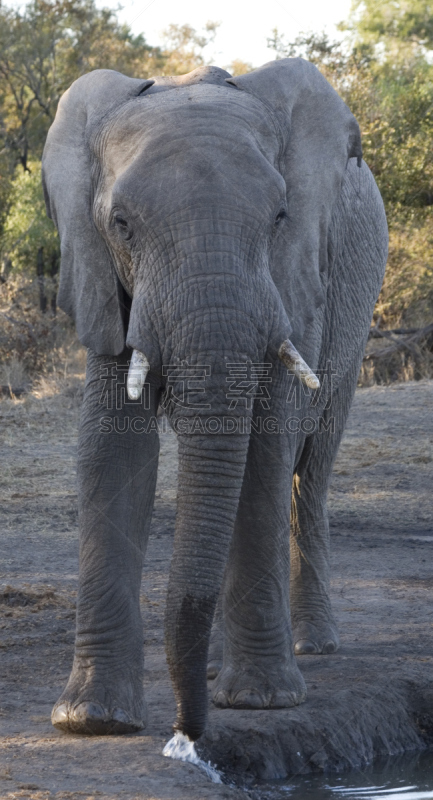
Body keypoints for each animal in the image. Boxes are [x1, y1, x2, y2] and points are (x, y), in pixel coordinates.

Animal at [42, 59, 388, 740]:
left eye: (281, 216)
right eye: (121, 225)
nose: (188, 734)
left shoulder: (293, 279)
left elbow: (266, 444)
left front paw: (262, 701)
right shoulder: (102, 278)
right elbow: (112, 449)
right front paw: (92, 719)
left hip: (357, 307)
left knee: (312, 465)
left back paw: (308, 648)